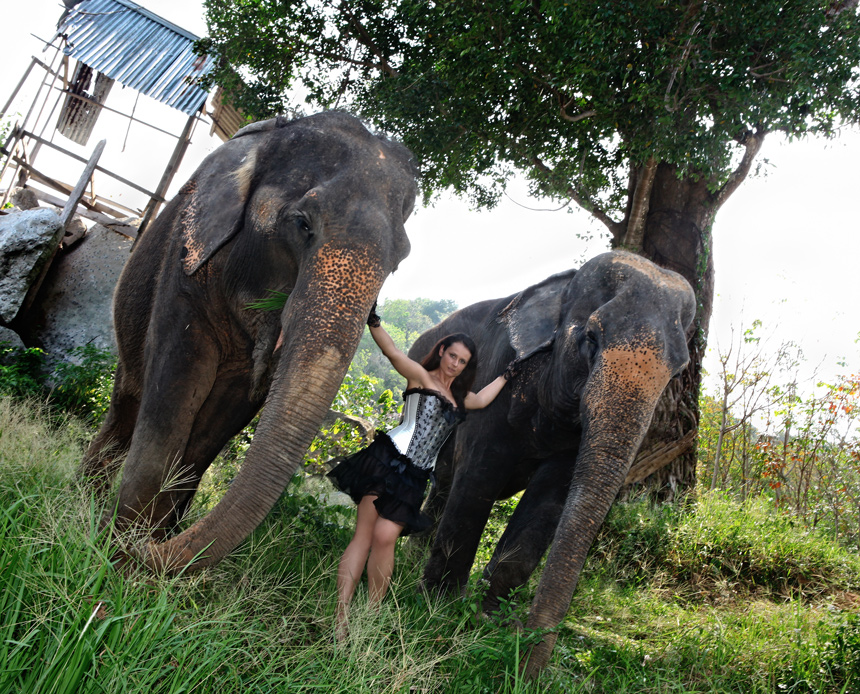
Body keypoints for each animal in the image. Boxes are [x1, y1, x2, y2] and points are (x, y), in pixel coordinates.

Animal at [82, 111, 418, 572]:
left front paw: (140, 555)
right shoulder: (185, 263)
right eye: (303, 224)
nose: (144, 548)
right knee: (126, 405)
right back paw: (82, 505)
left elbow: (216, 427)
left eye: (398, 261)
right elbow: (172, 401)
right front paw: (114, 559)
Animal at [406, 251, 696, 680]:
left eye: (677, 371)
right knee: (444, 475)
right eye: (591, 338)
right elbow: (478, 478)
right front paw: (439, 608)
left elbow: (549, 503)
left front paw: (488, 618)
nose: (524, 670)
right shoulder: (493, 382)